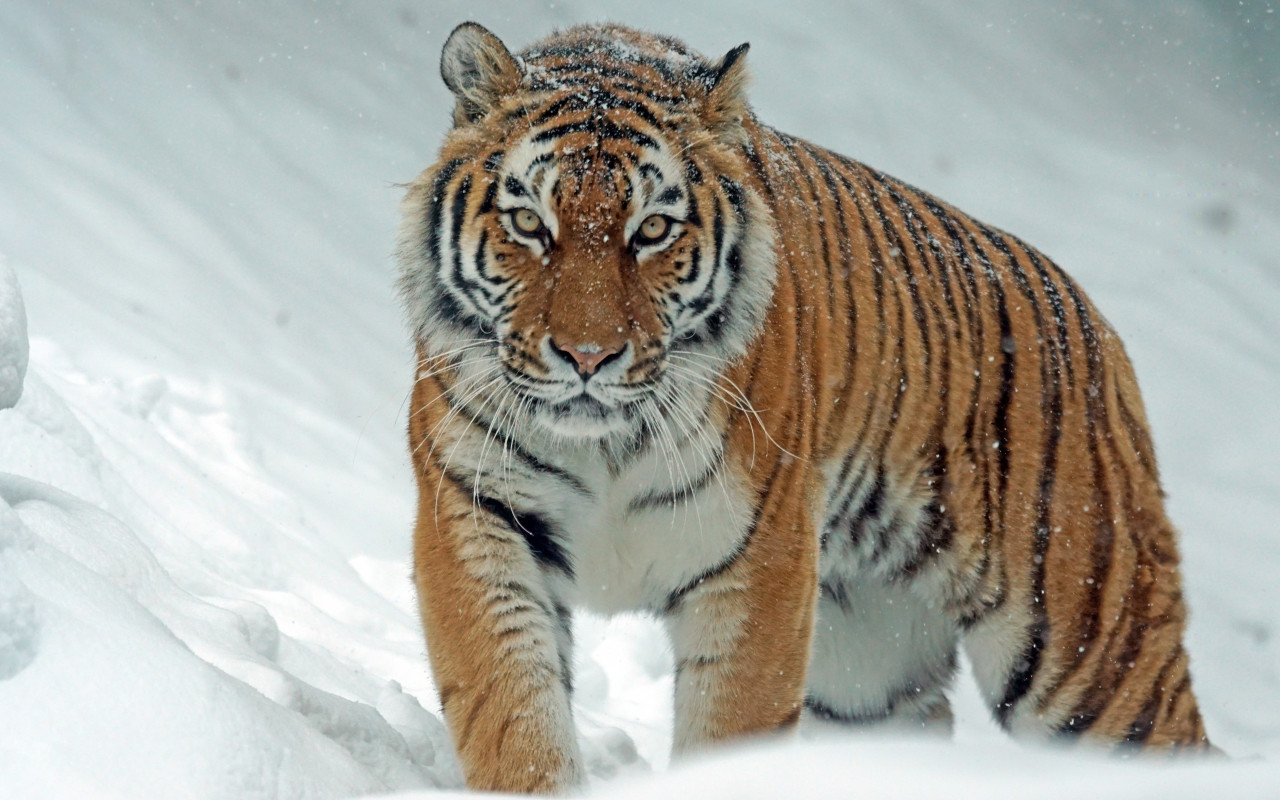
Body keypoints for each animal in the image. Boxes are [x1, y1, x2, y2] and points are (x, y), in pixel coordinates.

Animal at [396, 21, 1212, 794]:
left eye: (652, 230)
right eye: (530, 224)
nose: (588, 357)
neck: (605, 445)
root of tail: (1098, 325)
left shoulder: (761, 563)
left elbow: (729, 731)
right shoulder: (477, 517)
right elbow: (513, 715)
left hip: (1091, 652)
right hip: (868, 675)